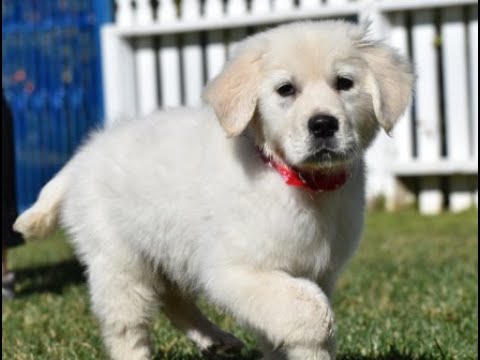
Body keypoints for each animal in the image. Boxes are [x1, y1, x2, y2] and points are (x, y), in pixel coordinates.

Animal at [15, 20, 412, 360]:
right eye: (285, 89)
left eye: (344, 83)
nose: (323, 125)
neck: (297, 180)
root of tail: (83, 155)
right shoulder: (236, 270)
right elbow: (311, 312)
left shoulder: (317, 271)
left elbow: (284, 327)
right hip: (120, 261)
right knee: (128, 327)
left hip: (169, 248)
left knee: (173, 299)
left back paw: (215, 339)